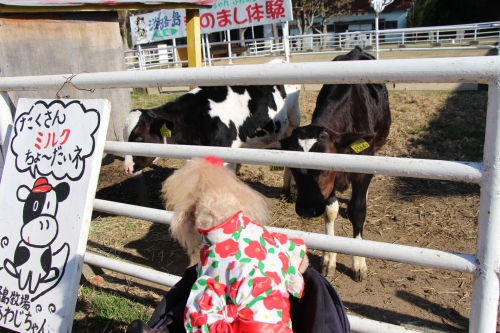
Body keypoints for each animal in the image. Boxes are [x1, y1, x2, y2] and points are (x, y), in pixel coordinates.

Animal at [268, 46, 392, 280]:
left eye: (325, 168)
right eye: (295, 169)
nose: (306, 209)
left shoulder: (362, 170)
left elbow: (357, 209)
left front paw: (358, 262)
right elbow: (330, 210)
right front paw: (329, 258)